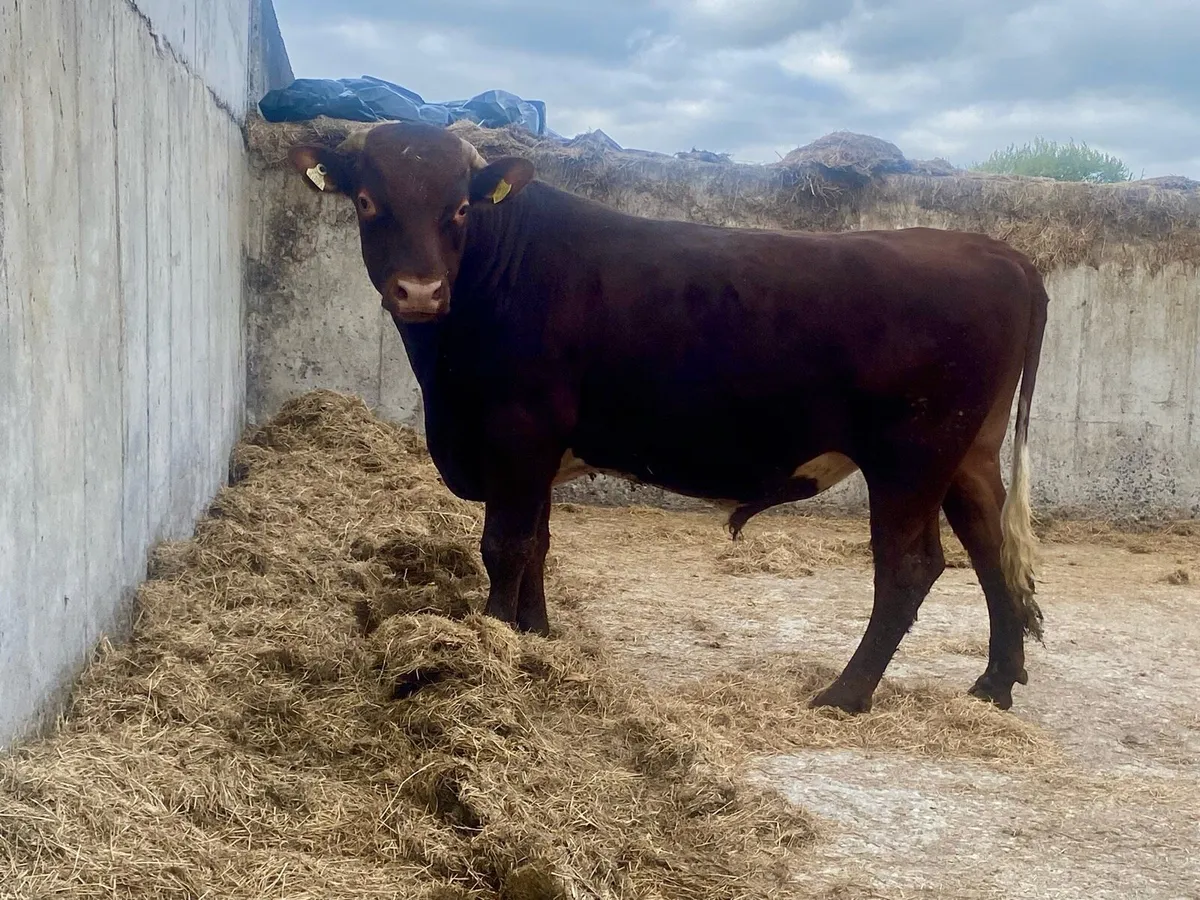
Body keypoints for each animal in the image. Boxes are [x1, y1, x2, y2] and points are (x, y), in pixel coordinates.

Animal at [287, 121, 1049, 714]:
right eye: (367, 200)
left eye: (459, 210)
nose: (419, 291)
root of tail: (997, 251)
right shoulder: (539, 452)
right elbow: (538, 545)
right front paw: (537, 638)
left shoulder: (516, 434)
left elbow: (504, 546)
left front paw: (493, 647)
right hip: (968, 452)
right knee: (990, 547)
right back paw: (995, 682)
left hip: (912, 453)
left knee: (910, 566)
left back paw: (845, 694)